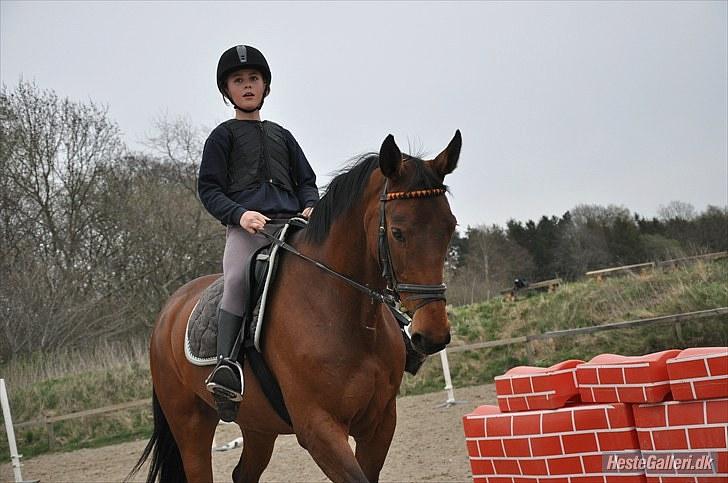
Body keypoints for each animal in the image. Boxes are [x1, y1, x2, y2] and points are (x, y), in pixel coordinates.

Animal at [129, 130, 460, 482]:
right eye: (397, 232)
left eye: (449, 227)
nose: (433, 335)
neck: (341, 312)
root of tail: (169, 310)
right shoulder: (318, 428)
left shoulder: (380, 422)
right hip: (191, 425)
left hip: (258, 425)